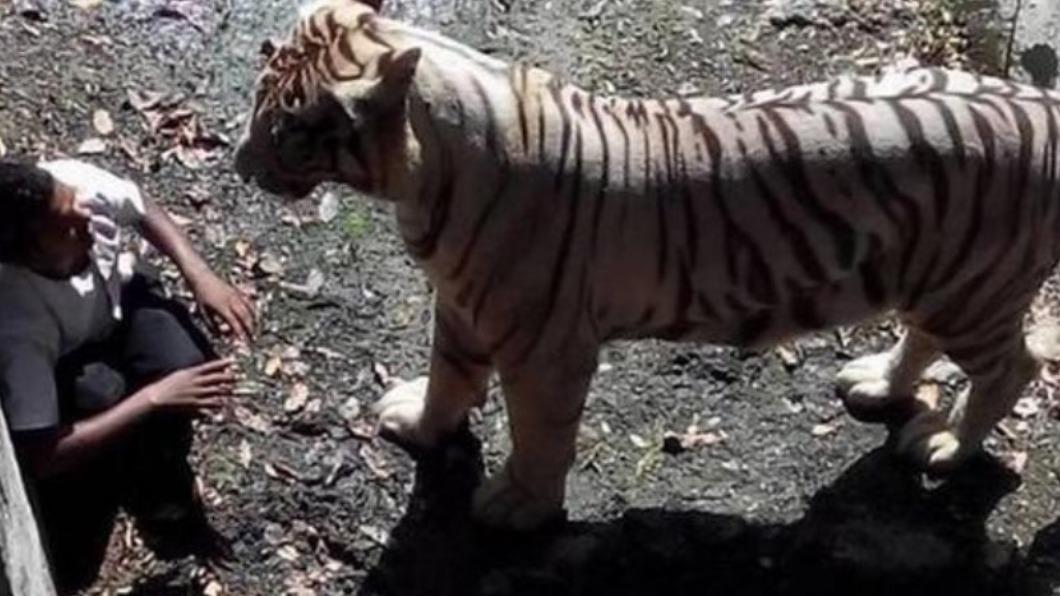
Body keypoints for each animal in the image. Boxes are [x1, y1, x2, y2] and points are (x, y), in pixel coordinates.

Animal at [234, 0, 1060, 530]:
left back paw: (946, 445)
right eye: (258, 99)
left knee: (1014, 366)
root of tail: (1044, 107)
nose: (240, 165)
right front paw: (420, 421)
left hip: (976, 290)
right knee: (924, 339)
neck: (422, 180)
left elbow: (540, 429)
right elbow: (449, 377)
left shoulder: (546, 346)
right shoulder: (463, 305)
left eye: (290, 130)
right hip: (932, 278)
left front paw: (517, 507)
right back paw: (879, 384)